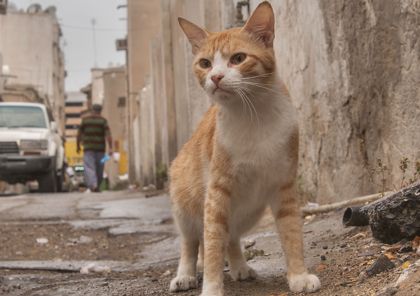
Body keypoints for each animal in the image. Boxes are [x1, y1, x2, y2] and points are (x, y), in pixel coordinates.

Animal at [169, 2, 320, 296]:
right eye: (205, 63)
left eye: (238, 58)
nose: (215, 77)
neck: (253, 114)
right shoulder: (216, 192)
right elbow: (212, 243)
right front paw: (211, 287)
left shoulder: (284, 184)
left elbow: (291, 231)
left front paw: (298, 275)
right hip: (184, 204)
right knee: (191, 242)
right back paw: (185, 274)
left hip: (250, 210)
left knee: (232, 235)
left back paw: (240, 267)